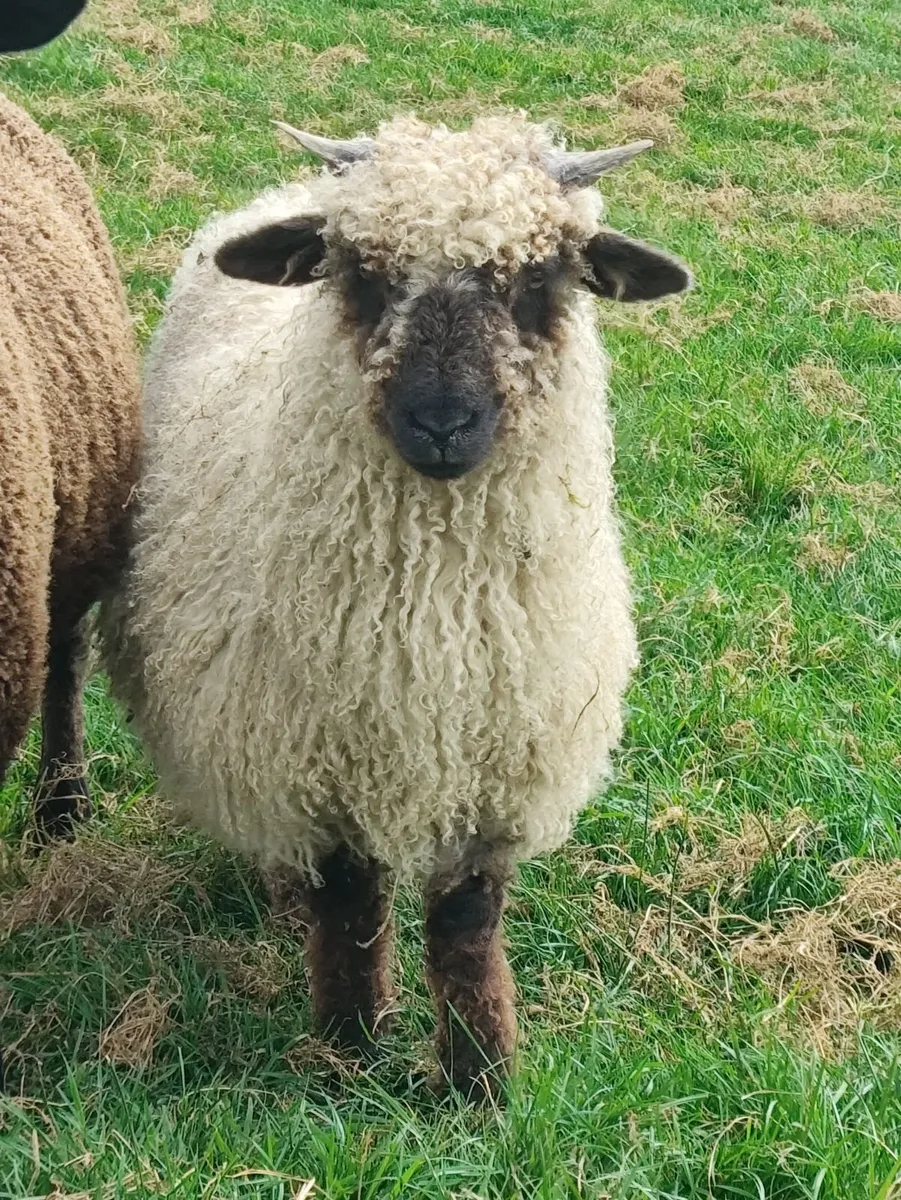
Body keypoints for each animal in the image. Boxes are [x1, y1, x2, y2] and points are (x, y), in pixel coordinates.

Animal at [102, 113, 691, 1095]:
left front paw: (479, 1079)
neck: (429, 605)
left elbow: (464, 925)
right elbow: (352, 907)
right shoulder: (323, 755)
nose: (442, 423)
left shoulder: (500, 761)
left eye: (538, 278)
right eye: (365, 275)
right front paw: (349, 1056)